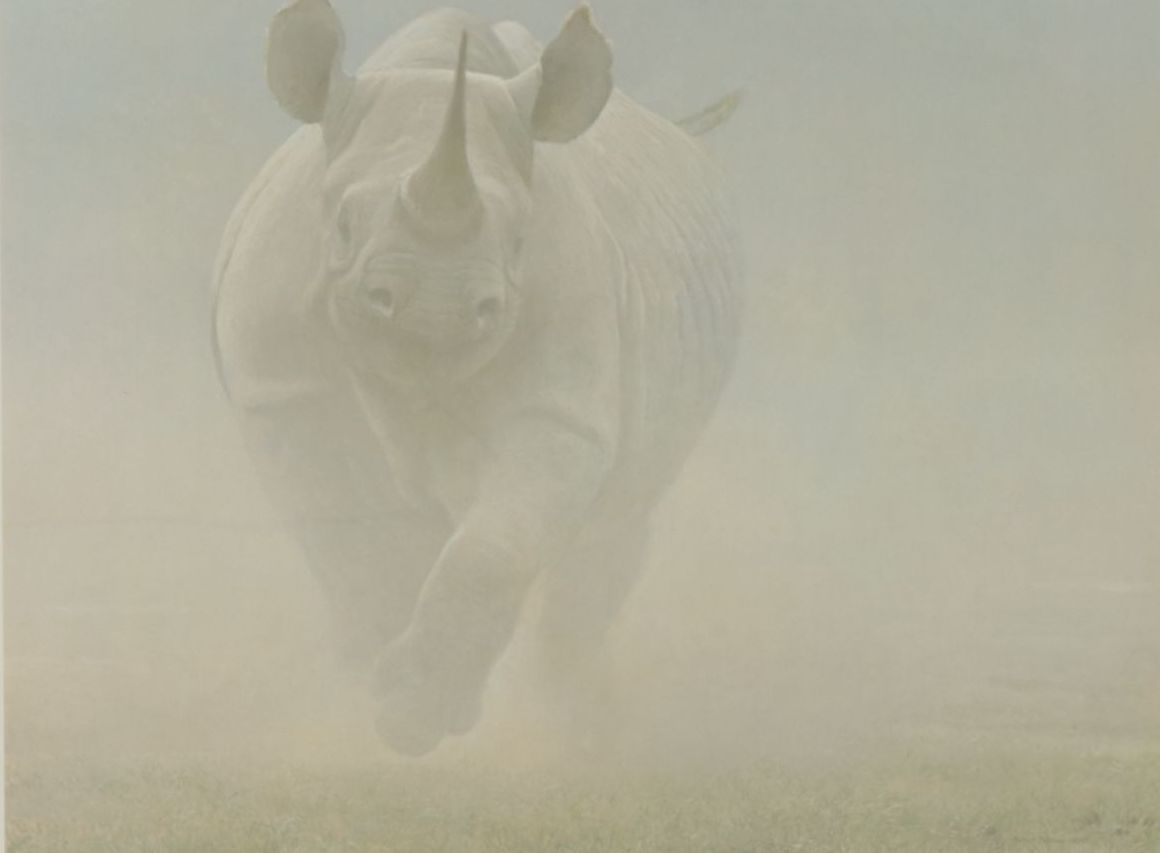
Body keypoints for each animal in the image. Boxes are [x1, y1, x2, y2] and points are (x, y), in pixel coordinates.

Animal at [213, 0, 742, 755]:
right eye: (341, 224)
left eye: (520, 237)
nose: (437, 307)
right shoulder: (285, 390)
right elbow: (350, 535)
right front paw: (389, 684)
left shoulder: (563, 402)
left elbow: (494, 544)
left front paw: (416, 712)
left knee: (615, 524)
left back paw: (570, 712)